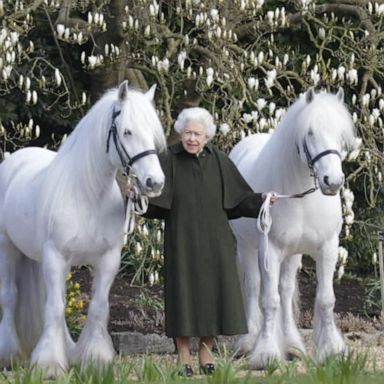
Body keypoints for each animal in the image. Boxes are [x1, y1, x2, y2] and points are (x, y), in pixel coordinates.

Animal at [0, 79, 166, 376]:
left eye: (153, 134)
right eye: (127, 131)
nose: (154, 182)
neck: (87, 195)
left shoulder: (107, 259)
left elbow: (97, 307)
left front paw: (95, 359)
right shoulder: (56, 256)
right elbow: (55, 308)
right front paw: (49, 364)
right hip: (7, 247)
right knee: (10, 297)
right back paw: (10, 354)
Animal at [228, 88, 356, 368]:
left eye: (341, 134)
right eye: (310, 133)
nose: (333, 181)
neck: (302, 198)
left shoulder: (327, 248)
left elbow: (325, 300)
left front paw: (332, 350)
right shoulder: (271, 250)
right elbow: (269, 300)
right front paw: (265, 354)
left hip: (293, 254)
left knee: (286, 291)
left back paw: (293, 345)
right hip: (247, 247)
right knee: (254, 287)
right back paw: (248, 342)